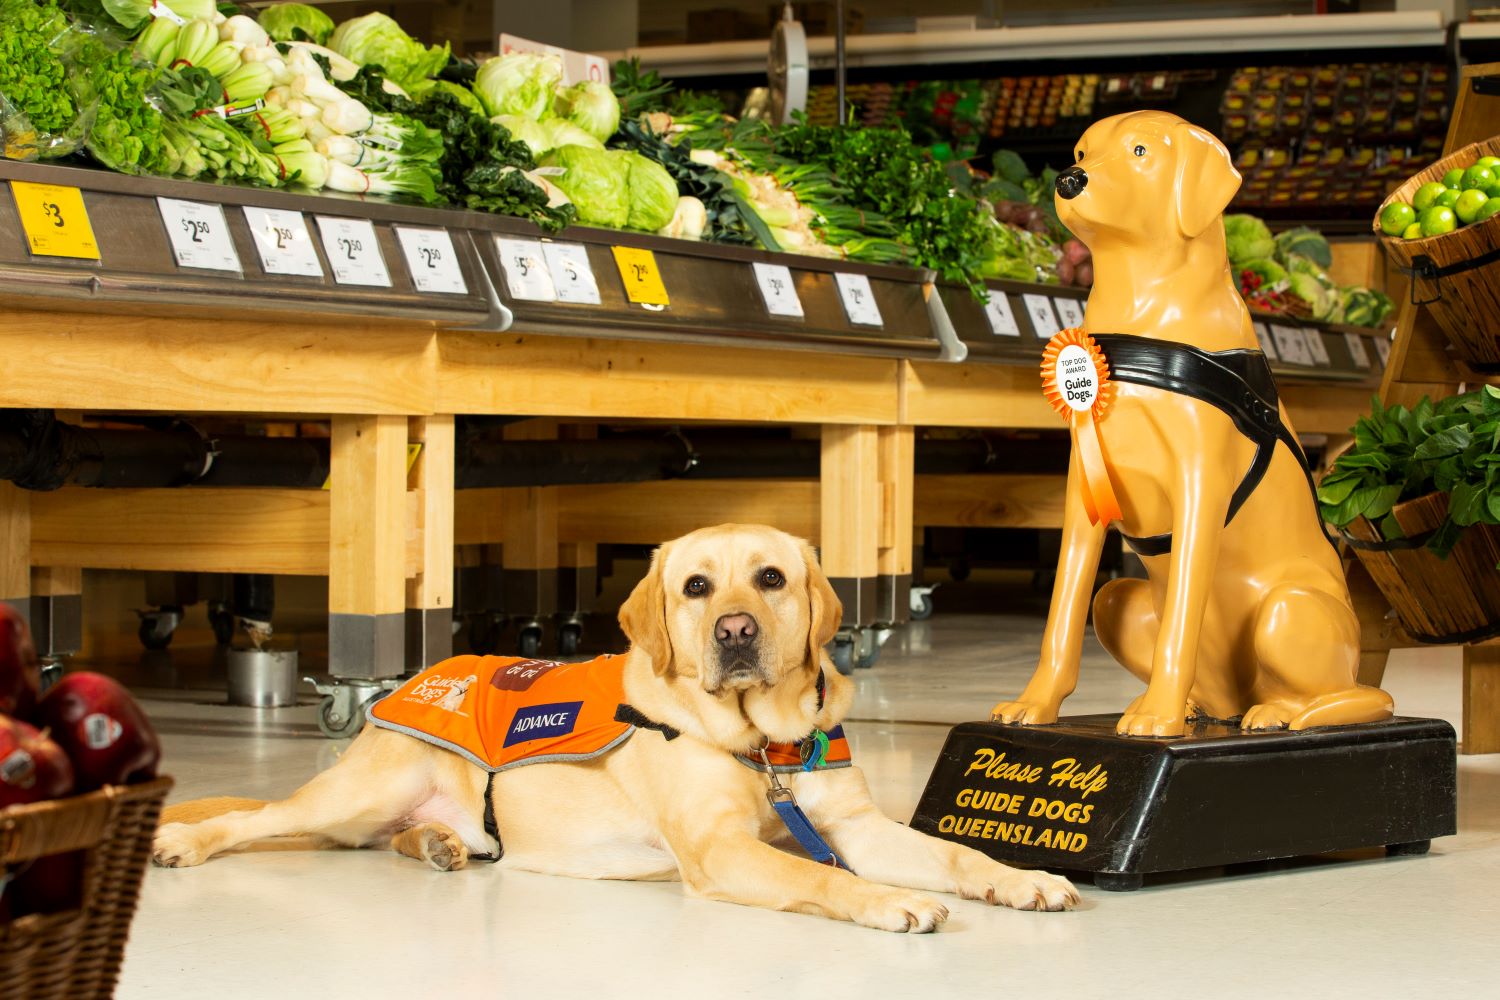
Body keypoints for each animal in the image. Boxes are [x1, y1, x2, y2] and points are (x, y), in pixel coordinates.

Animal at [155, 524, 1080, 929]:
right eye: (697, 587)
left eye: (770, 579)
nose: (735, 633)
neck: (761, 740)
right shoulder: (720, 850)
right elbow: (819, 876)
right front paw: (887, 900)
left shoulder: (852, 824)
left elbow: (955, 854)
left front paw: (1019, 879)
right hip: (364, 787)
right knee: (253, 819)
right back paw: (184, 843)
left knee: (390, 837)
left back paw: (441, 844)